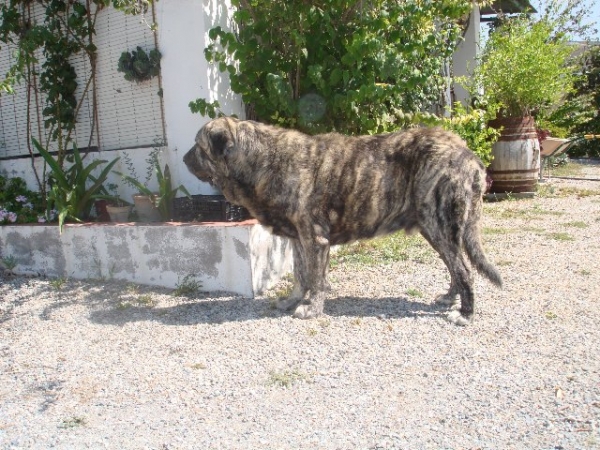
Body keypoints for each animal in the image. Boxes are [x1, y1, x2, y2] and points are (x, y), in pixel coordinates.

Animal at [183, 118, 502, 326]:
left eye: (198, 146)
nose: (184, 160)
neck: (263, 159)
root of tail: (468, 154)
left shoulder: (314, 239)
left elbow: (315, 278)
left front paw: (311, 308)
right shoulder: (298, 239)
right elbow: (300, 275)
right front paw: (293, 301)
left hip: (439, 226)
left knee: (464, 270)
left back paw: (465, 313)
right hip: (434, 229)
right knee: (455, 267)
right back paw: (450, 298)